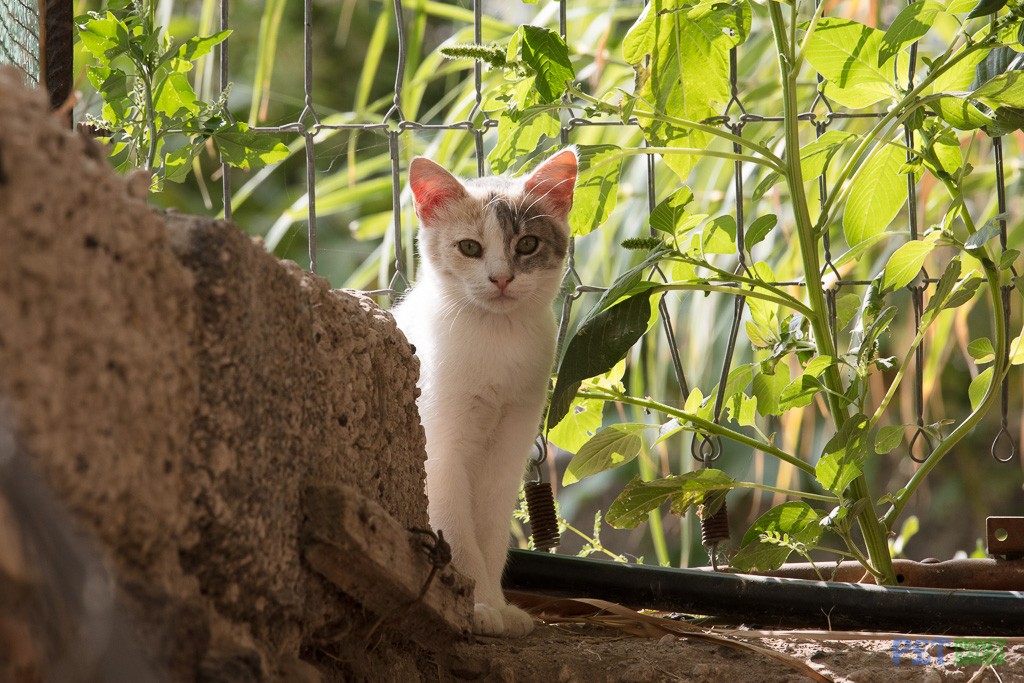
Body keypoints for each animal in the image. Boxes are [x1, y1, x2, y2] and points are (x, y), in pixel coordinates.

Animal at [393, 148, 577, 634]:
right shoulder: (440, 455)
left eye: (527, 245)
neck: (496, 340)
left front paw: (497, 602)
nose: (501, 279)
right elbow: (457, 532)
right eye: (470, 248)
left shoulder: (508, 449)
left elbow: (491, 534)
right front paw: (476, 606)